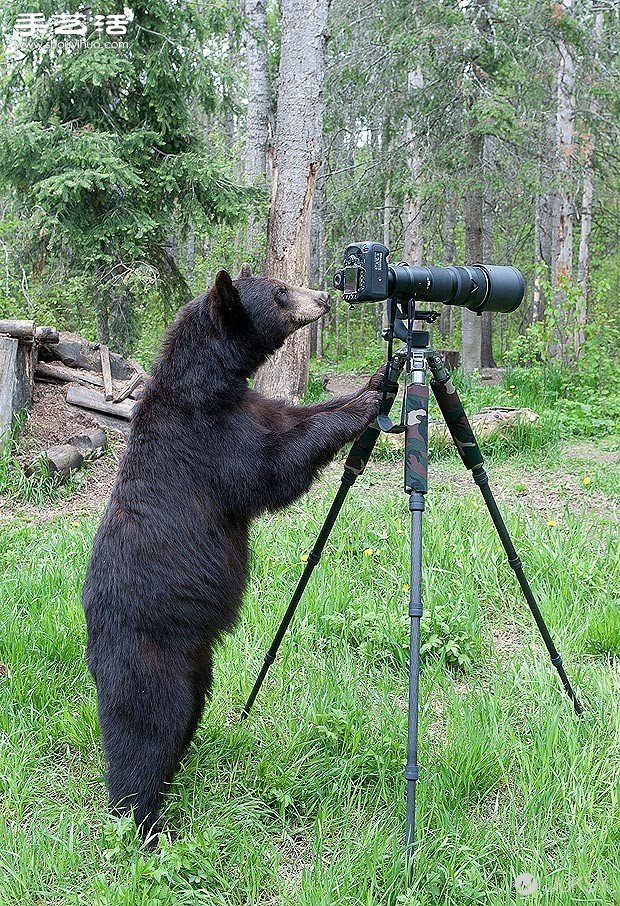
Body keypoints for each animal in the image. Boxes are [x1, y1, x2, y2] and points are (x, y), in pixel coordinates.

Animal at [82, 264, 382, 836]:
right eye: (281, 291)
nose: (324, 295)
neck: (210, 383)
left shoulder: (250, 407)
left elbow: (291, 421)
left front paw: (375, 382)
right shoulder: (213, 440)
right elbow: (273, 468)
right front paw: (366, 402)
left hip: (198, 662)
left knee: (184, 717)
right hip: (149, 658)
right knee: (143, 733)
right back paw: (144, 822)